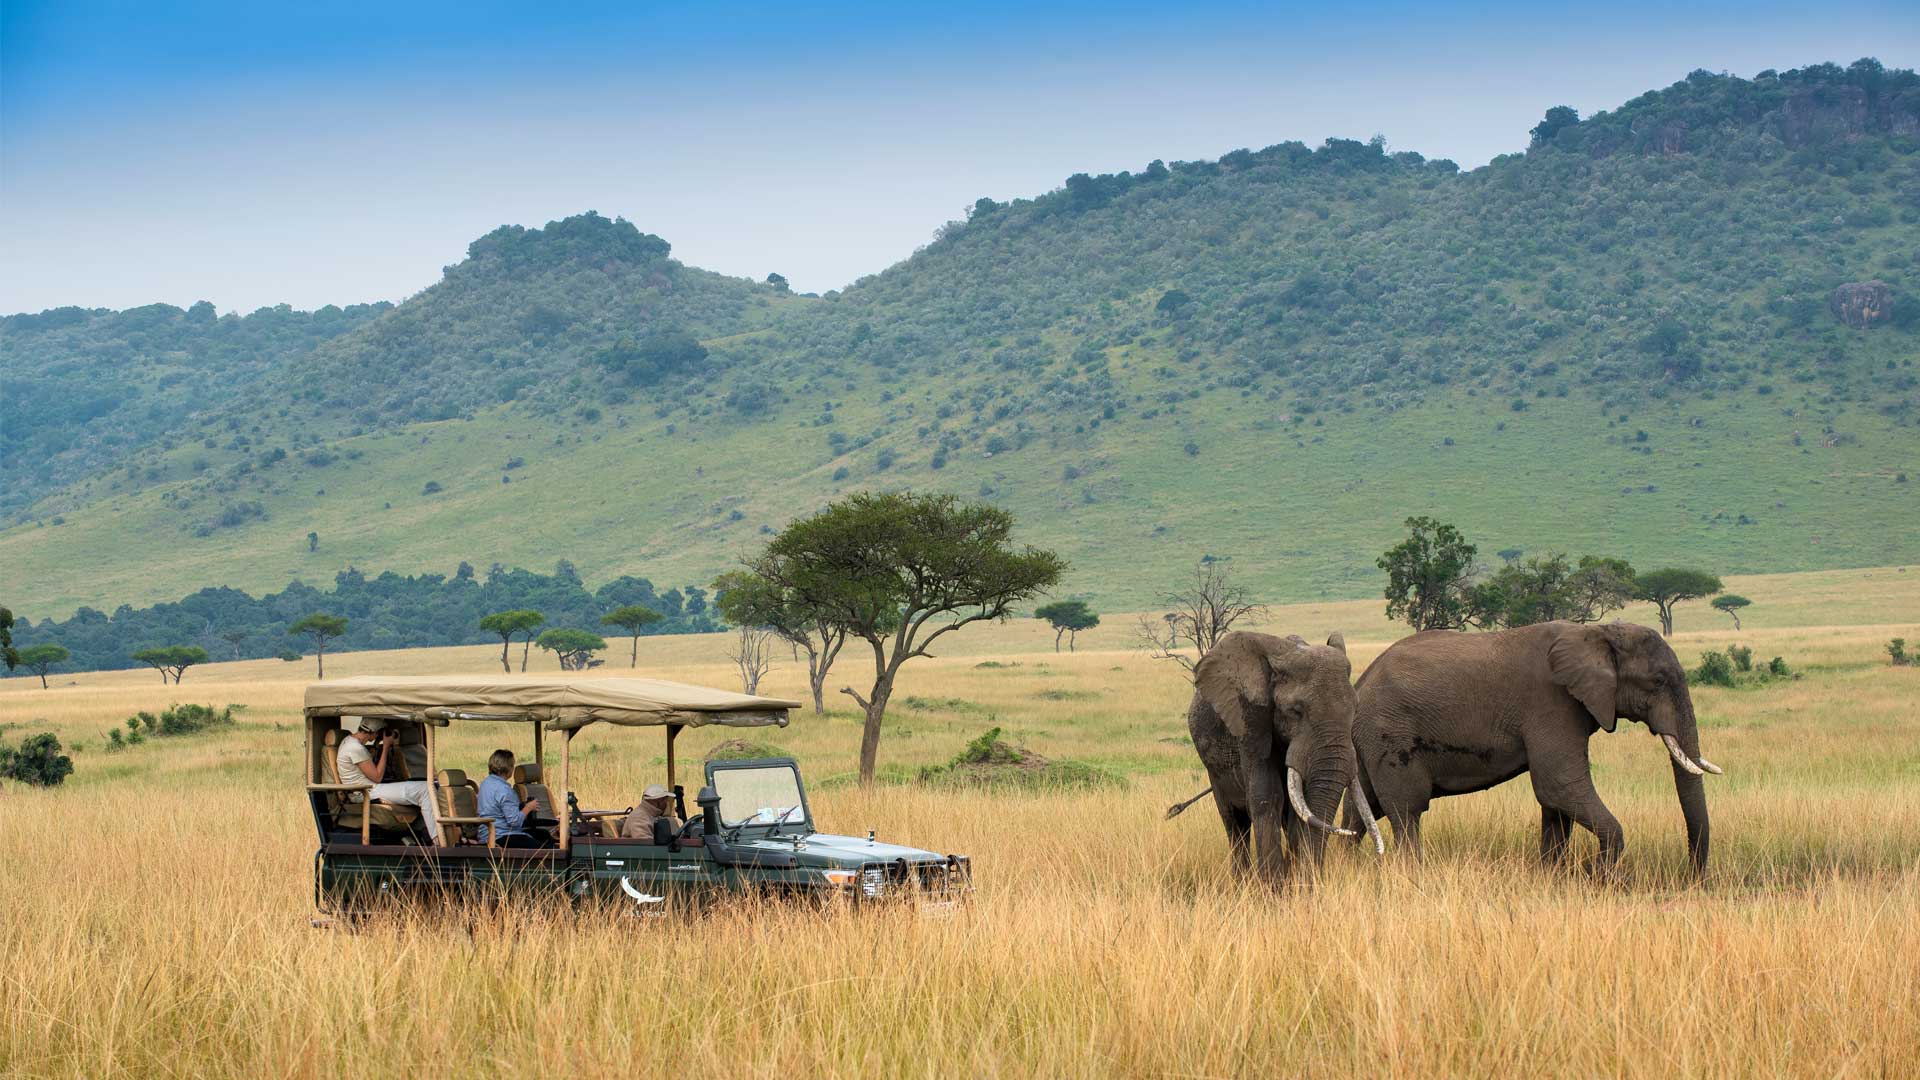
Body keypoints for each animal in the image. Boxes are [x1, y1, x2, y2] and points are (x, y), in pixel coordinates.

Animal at [1167, 630, 1382, 876]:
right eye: (1295, 711)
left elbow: (1299, 808)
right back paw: (1242, 879)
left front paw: (1295, 880)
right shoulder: (1251, 721)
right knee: (1234, 823)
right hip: (1213, 768)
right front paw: (1274, 884)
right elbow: (1267, 795)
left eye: (1355, 710)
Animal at [1336, 614, 1728, 876]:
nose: (1691, 878)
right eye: (1658, 680)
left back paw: (1345, 870)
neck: (1596, 633)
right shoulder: (1551, 703)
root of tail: (1360, 683)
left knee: (1361, 812)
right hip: (1390, 733)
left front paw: (1554, 876)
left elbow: (1557, 801)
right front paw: (1599, 878)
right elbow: (1559, 786)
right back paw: (1410, 874)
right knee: (1407, 811)